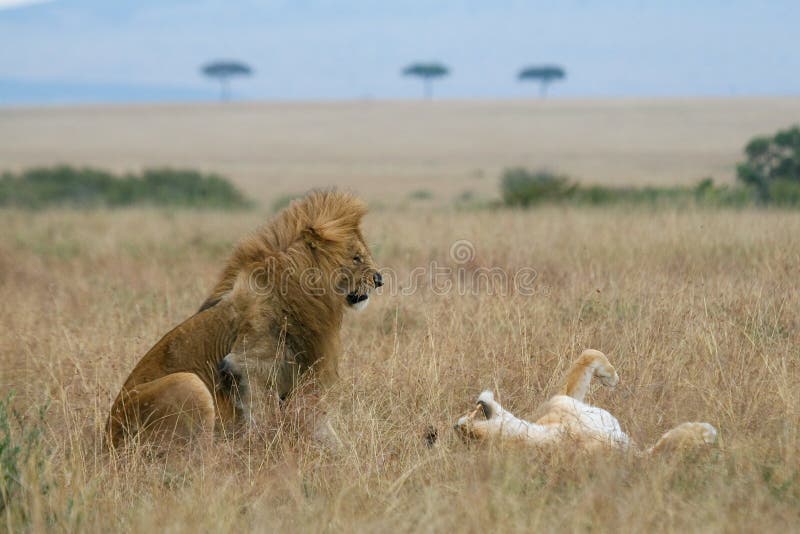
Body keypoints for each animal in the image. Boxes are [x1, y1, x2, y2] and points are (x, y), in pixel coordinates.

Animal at [108, 191, 382, 450]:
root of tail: (105, 442)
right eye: (356, 258)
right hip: (188, 383)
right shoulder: (246, 365)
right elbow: (263, 421)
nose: (379, 279)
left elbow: (325, 430)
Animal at [456, 352, 720, 456]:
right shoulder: (632, 455)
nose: (457, 426)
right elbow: (666, 445)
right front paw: (703, 431)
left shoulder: (562, 401)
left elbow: (585, 357)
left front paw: (609, 376)